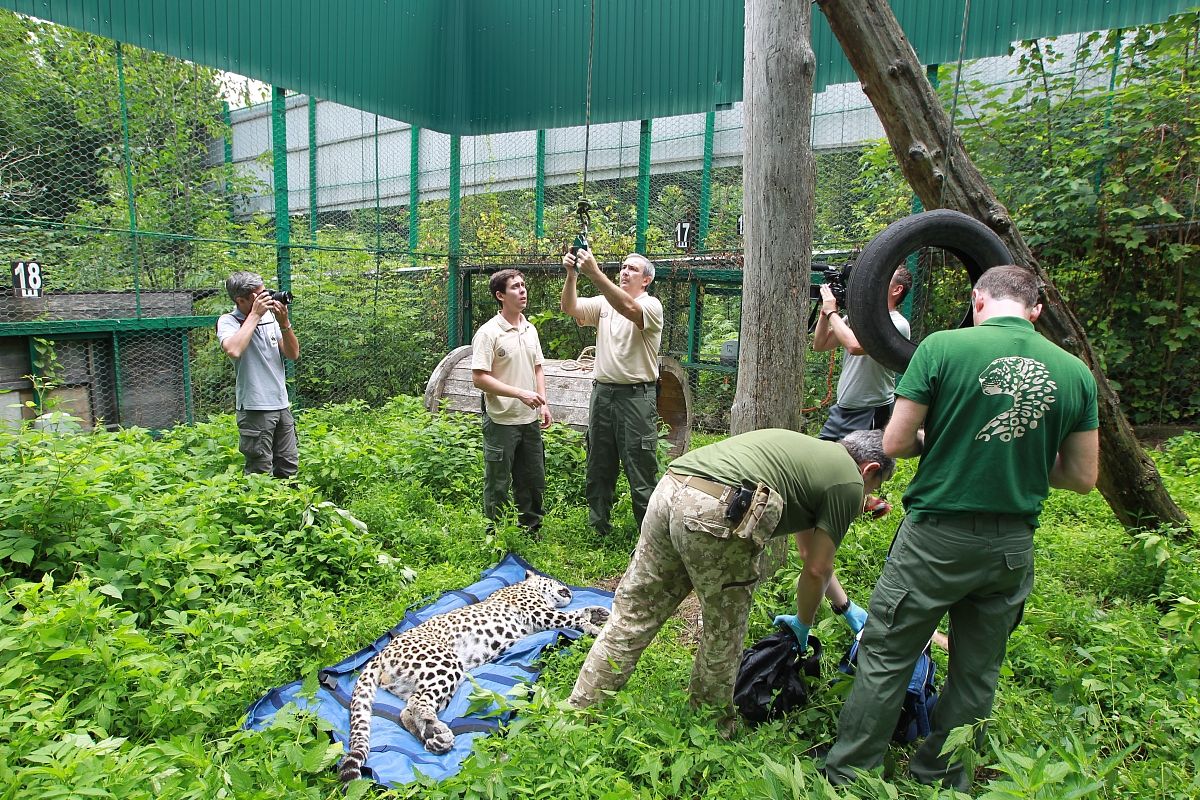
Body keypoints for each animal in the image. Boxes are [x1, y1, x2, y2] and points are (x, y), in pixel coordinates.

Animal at [343, 573, 614, 786]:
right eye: (555, 580)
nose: (568, 589)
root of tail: (380, 653)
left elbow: (580, 612)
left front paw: (600, 613)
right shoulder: (542, 614)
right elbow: (573, 615)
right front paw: (595, 625)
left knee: (406, 711)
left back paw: (434, 737)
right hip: (446, 664)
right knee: (417, 703)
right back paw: (436, 729)